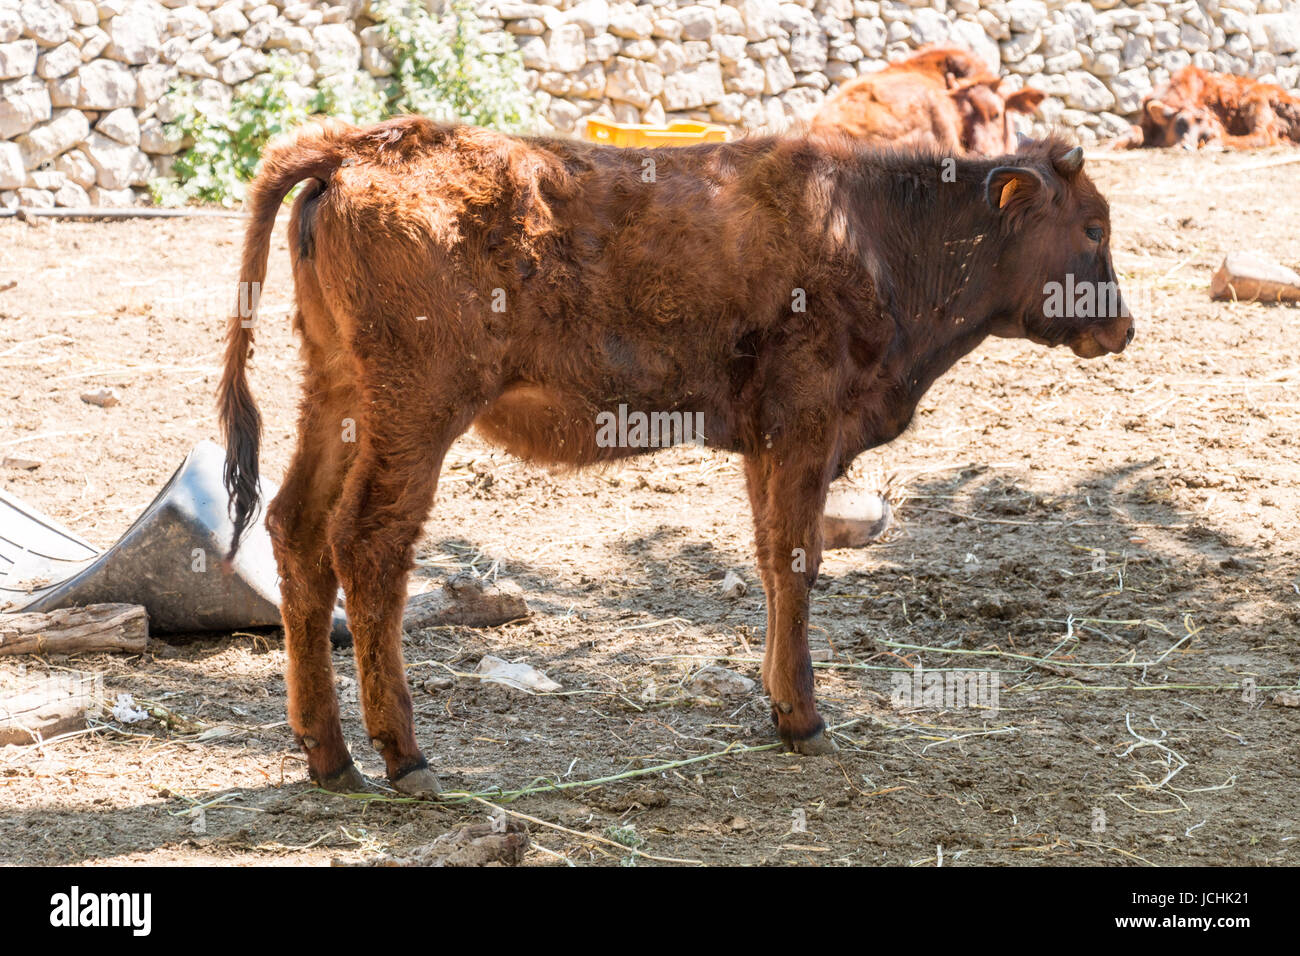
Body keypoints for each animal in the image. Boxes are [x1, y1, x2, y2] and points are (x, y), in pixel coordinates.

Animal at [218, 115, 1133, 796]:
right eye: (1092, 226)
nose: (1121, 327)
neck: (874, 227)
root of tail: (360, 146)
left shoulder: (767, 440)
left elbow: (772, 560)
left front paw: (780, 706)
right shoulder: (804, 421)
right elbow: (797, 560)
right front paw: (806, 718)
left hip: (338, 397)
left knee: (297, 530)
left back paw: (329, 756)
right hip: (416, 412)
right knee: (370, 545)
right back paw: (404, 756)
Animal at [1128, 66, 1300, 149]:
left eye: (1203, 134)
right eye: (1181, 122)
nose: (1186, 146)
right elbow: (1133, 132)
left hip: (1255, 99)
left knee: (1262, 135)